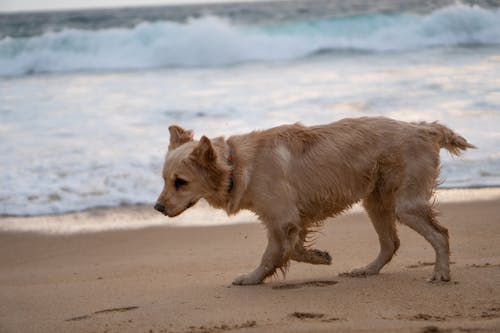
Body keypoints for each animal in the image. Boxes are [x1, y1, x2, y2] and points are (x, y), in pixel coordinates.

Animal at [154, 116, 474, 282]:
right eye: (164, 179)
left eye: (180, 182)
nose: (157, 207)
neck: (237, 165)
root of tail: (426, 128)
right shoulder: (291, 220)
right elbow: (291, 249)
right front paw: (317, 256)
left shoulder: (283, 218)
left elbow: (276, 253)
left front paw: (252, 277)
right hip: (375, 201)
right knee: (390, 243)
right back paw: (366, 270)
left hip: (404, 204)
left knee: (440, 234)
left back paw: (441, 273)